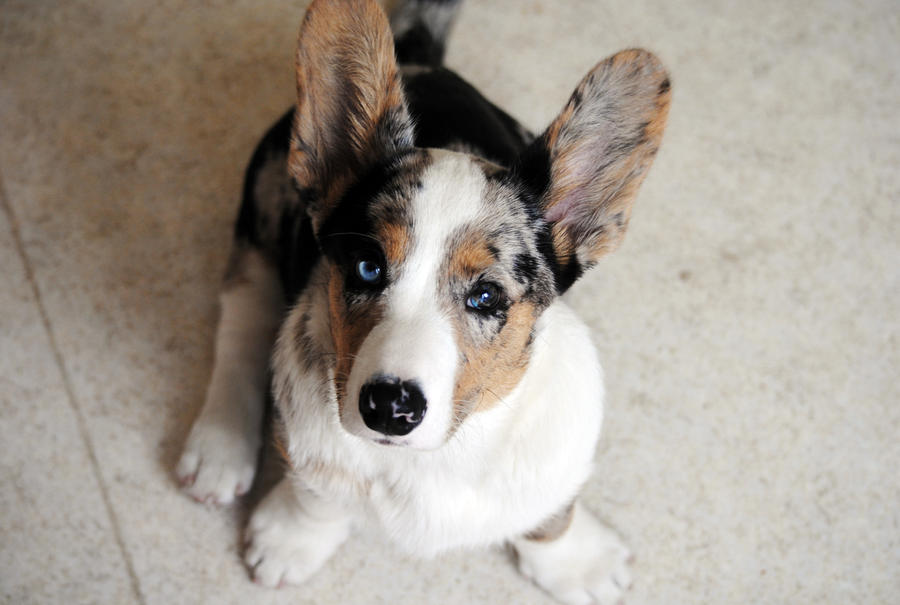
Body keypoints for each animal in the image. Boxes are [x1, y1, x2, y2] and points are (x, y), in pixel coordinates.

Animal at [174, 2, 668, 600]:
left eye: (485, 296)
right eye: (367, 267)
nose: (390, 406)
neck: (437, 459)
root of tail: (418, 57)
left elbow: (552, 517)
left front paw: (578, 563)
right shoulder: (307, 449)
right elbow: (315, 497)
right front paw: (291, 542)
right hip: (263, 207)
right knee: (242, 319)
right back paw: (218, 450)